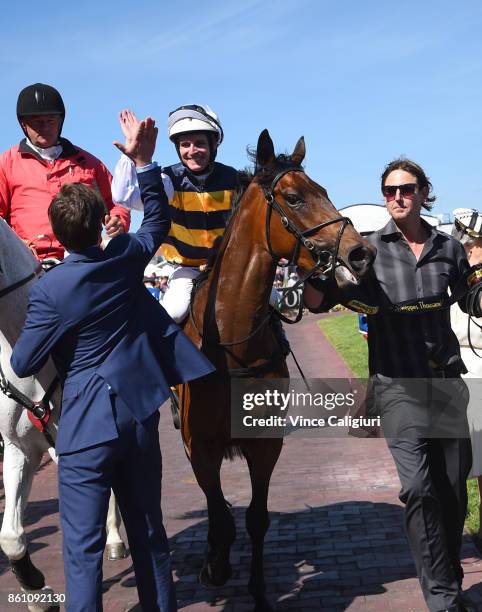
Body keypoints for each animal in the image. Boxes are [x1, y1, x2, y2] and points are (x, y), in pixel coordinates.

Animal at [179, 130, 374, 612]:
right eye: (294, 197)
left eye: (324, 190)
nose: (361, 253)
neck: (231, 345)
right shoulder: (198, 444)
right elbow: (218, 511)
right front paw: (214, 566)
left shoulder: (265, 442)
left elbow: (256, 518)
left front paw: (258, 591)